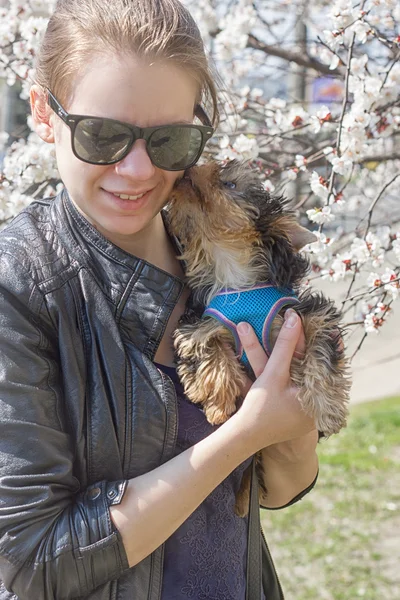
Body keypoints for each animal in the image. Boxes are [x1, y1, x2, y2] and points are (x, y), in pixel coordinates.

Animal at [168, 159, 350, 516]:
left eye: (229, 184)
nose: (191, 169)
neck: (229, 263)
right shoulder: (201, 323)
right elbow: (208, 350)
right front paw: (218, 404)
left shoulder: (306, 314)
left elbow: (320, 350)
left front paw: (327, 408)